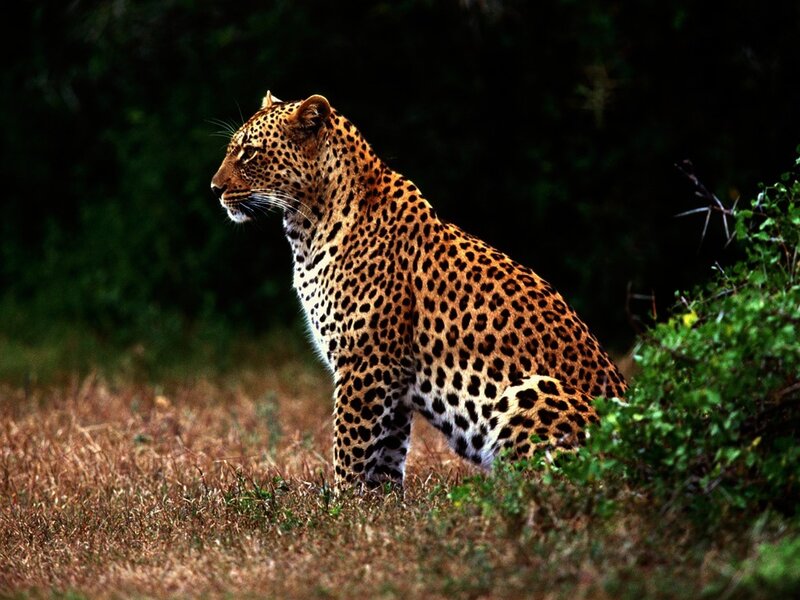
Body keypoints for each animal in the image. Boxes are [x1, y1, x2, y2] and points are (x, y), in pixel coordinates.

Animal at [211, 92, 627, 490]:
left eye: (249, 152)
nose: (215, 188)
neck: (306, 227)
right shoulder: (392, 381)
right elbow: (385, 459)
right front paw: (378, 509)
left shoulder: (366, 365)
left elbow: (349, 450)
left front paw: (340, 508)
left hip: (535, 391)